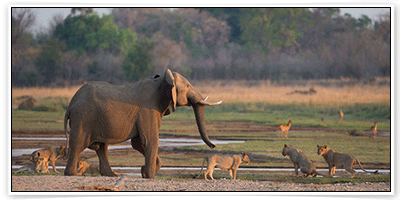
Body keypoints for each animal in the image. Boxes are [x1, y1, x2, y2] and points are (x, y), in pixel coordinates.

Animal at [64, 69, 223, 178]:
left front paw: (144, 172)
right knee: (78, 144)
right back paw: (74, 174)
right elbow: (150, 140)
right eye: (189, 86)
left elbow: (138, 143)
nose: (213, 146)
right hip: (83, 118)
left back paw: (113, 175)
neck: (162, 81)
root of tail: (70, 105)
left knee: (102, 147)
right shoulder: (148, 109)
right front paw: (150, 176)